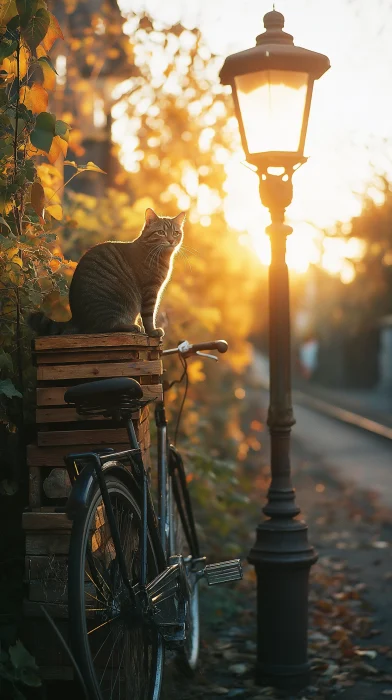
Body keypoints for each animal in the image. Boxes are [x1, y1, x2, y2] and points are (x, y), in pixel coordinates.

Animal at [29, 209, 185, 338]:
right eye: (161, 232)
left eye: (176, 233)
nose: (171, 240)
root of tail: (76, 319)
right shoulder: (150, 290)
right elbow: (148, 316)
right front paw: (152, 332)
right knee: (104, 328)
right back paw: (131, 327)